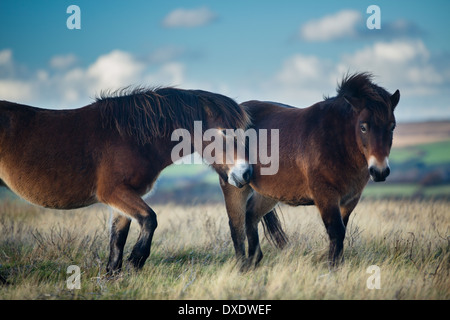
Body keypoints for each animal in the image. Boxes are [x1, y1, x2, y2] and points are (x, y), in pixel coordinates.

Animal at [0, 87, 253, 272]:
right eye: (223, 132)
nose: (246, 173)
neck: (130, 138)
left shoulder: (123, 199)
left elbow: (117, 239)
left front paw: (113, 275)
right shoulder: (113, 192)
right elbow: (150, 220)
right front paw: (135, 262)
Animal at [220, 72, 400, 268]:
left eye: (392, 127)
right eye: (363, 127)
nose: (380, 171)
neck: (337, 142)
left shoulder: (350, 200)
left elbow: (341, 231)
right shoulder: (326, 196)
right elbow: (336, 231)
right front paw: (333, 268)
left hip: (268, 193)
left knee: (251, 216)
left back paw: (253, 261)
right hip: (236, 186)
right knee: (236, 225)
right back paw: (242, 266)